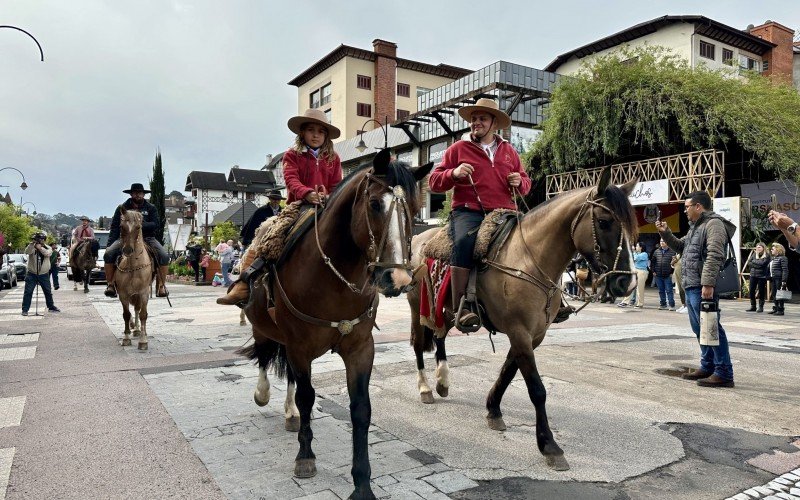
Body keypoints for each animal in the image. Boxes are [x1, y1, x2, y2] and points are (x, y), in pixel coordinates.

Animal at [114, 207, 155, 352]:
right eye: (121, 226)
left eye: (138, 227)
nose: (127, 250)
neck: (133, 266)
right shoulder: (123, 295)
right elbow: (126, 315)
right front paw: (126, 338)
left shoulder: (143, 293)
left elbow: (143, 314)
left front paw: (143, 341)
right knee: (135, 311)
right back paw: (135, 329)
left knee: (139, 311)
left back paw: (141, 331)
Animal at [241, 149, 432, 500]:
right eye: (374, 204)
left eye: (413, 209)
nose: (397, 279)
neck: (330, 279)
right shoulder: (300, 347)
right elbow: (307, 397)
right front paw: (305, 457)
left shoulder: (360, 349)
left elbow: (360, 409)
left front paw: (362, 481)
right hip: (264, 327)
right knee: (263, 355)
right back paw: (264, 394)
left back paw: (289, 413)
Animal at [406, 168, 636, 472]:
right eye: (604, 221)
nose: (626, 283)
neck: (528, 260)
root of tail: (421, 240)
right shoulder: (519, 332)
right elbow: (536, 388)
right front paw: (549, 445)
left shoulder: (533, 335)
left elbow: (508, 371)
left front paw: (493, 410)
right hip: (417, 307)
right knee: (419, 343)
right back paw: (425, 388)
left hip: (442, 309)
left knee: (440, 337)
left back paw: (443, 381)